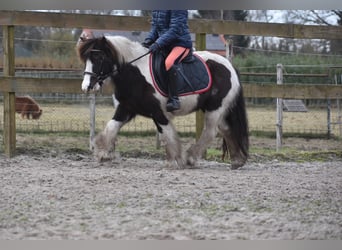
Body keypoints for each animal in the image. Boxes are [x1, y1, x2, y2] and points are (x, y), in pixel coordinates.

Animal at [77, 35, 248, 170]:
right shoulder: (127, 108)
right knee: (226, 129)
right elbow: (111, 127)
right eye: (85, 59)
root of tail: (230, 67)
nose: (86, 87)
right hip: (217, 109)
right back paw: (237, 160)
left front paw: (174, 160)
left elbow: (167, 134)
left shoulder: (159, 112)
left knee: (211, 131)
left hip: (215, 108)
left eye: (99, 58)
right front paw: (103, 154)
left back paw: (191, 157)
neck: (136, 74)